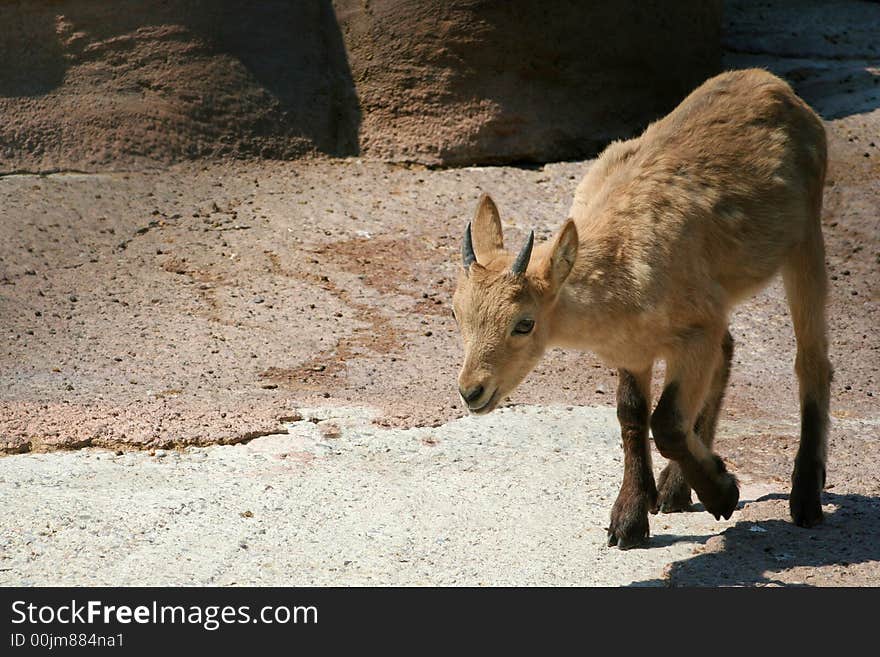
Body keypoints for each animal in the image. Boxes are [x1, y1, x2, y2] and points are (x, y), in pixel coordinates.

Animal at [454, 68, 832, 548]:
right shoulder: (636, 349)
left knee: (811, 361)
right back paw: (674, 490)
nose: (471, 391)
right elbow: (631, 414)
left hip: (805, 241)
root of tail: (775, 85)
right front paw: (630, 518)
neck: (624, 268)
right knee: (730, 348)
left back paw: (805, 499)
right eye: (457, 314)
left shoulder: (695, 332)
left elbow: (666, 421)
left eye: (524, 323)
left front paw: (723, 493)